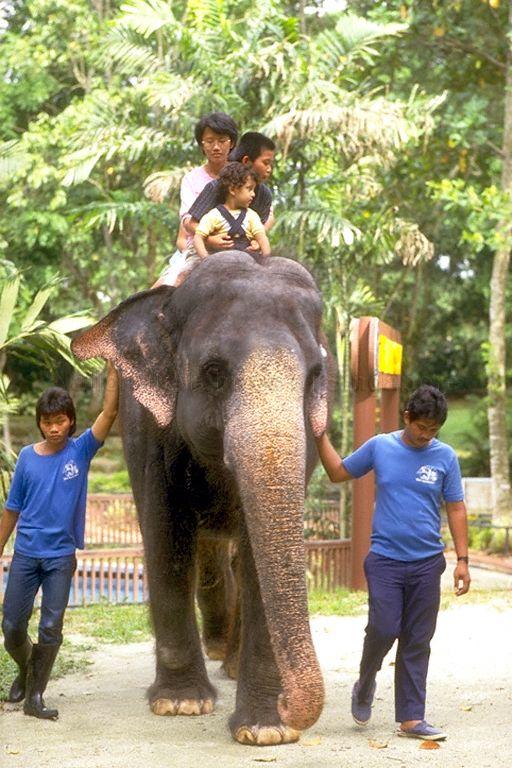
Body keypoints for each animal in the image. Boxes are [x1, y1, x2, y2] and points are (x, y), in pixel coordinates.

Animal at [72, 251, 333, 746]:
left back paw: (228, 662)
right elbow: (166, 535)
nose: (290, 704)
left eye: (314, 378)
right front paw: (181, 704)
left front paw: (267, 730)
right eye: (214, 373)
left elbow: (256, 554)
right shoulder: (148, 426)